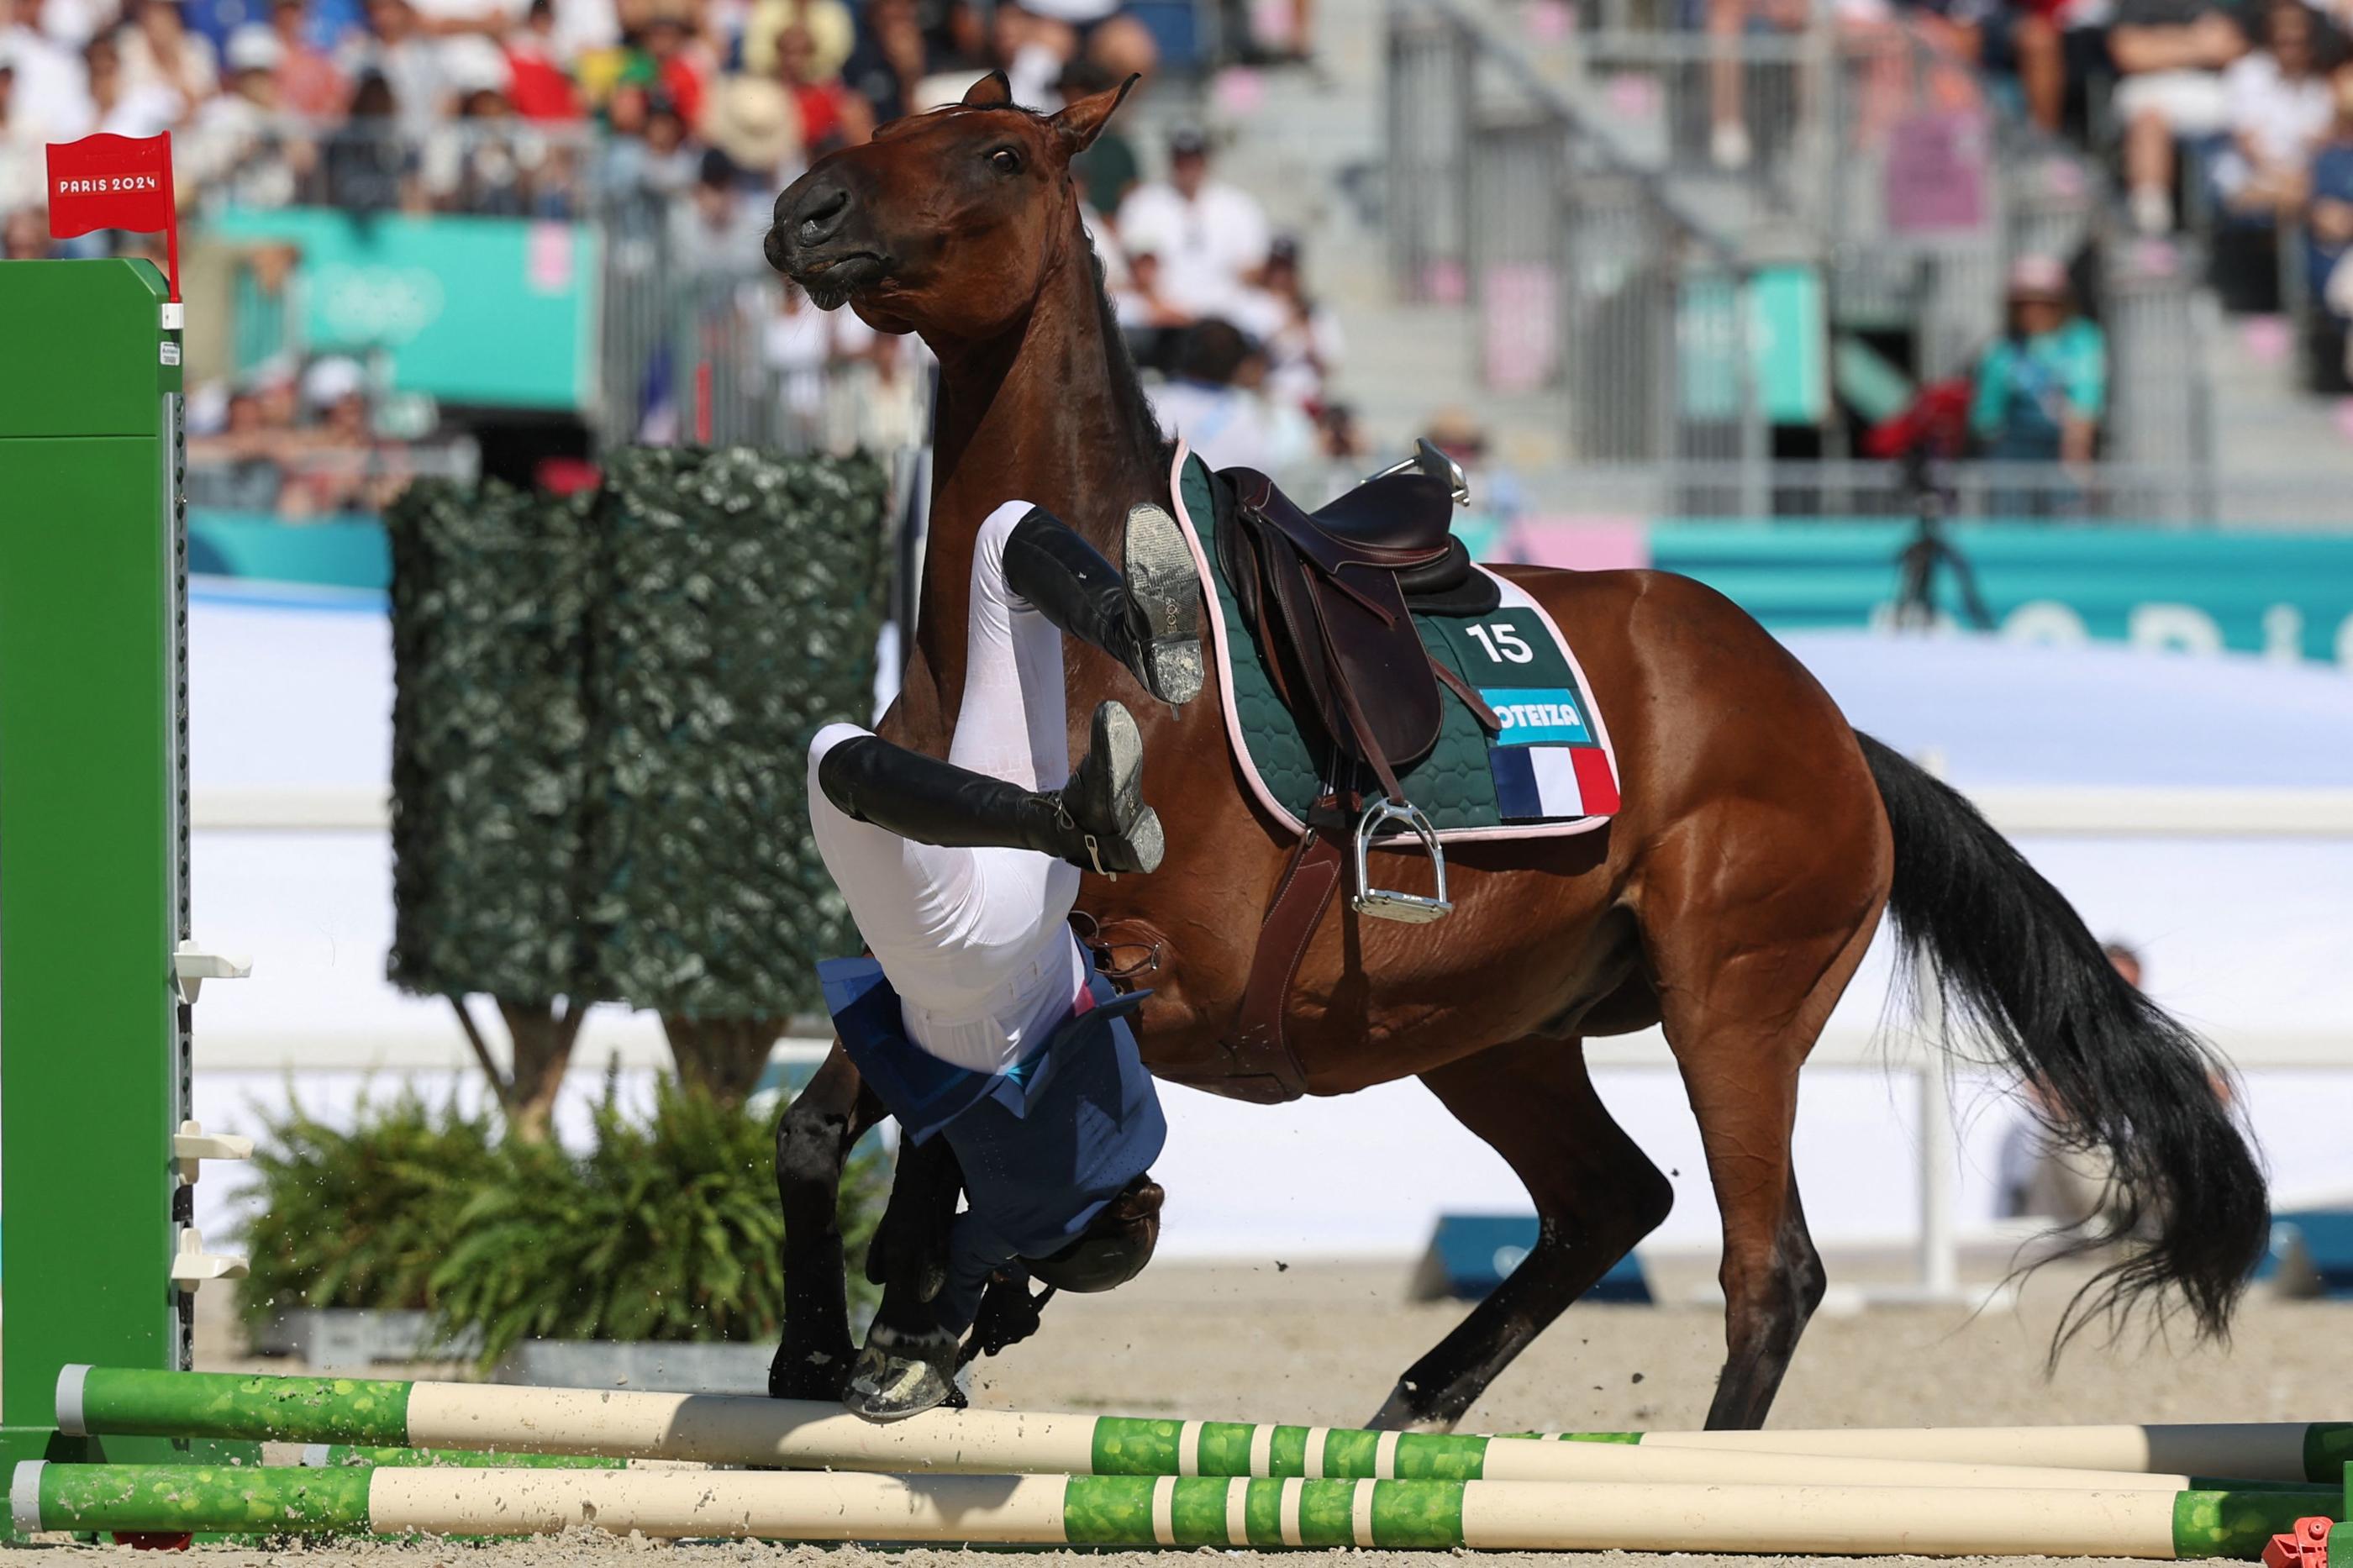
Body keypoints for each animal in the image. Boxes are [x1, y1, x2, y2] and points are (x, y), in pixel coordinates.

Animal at [762, 73, 2268, 1422]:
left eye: (1001, 153)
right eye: (887, 120)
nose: (802, 209)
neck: (1056, 639)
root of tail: (1827, 718)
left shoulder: (1150, 960)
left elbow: (966, 1110)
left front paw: (938, 1306)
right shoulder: (946, 959)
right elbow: (828, 1119)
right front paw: (842, 1339)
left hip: (1732, 1007)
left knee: (1766, 1268)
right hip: (1488, 1031)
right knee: (1612, 1198)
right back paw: (1413, 1408)